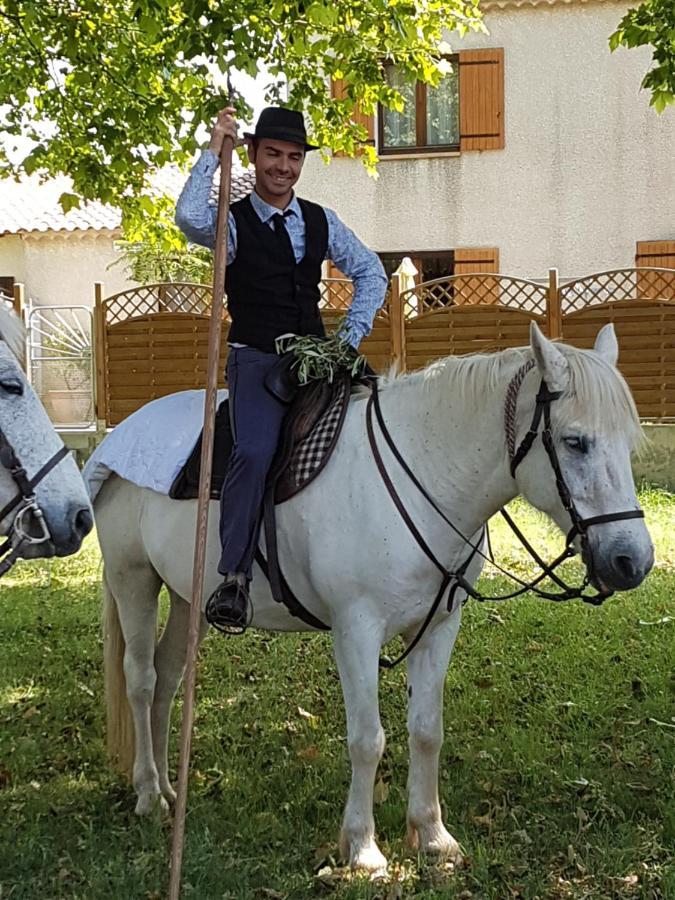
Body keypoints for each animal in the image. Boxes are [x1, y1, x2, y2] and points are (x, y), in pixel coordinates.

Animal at [96, 324, 656, 872]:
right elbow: (368, 740)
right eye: (575, 442)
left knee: (168, 677)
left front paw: (432, 835)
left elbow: (427, 730)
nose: (633, 561)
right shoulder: (356, 631)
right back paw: (149, 794)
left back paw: (170, 787)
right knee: (142, 680)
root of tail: (120, 435)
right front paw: (362, 847)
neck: (425, 474)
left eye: (627, 442)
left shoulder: (438, 629)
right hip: (133, 579)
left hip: (187, 598)